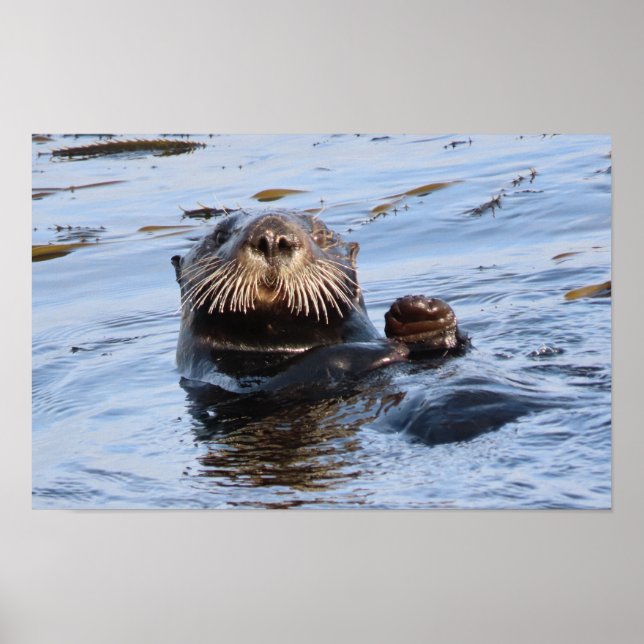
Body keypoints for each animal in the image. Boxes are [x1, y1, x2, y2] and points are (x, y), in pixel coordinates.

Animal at [171, 210, 467, 389]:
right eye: (220, 235)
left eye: (321, 235)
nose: (271, 237)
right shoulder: (222, 376)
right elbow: (312, 365)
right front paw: (387, 348)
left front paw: (421, 314)